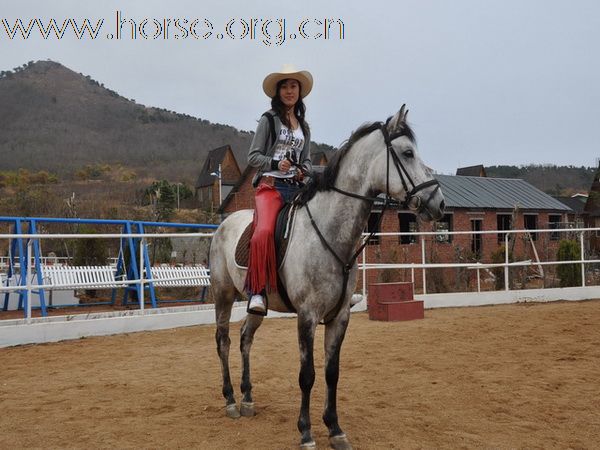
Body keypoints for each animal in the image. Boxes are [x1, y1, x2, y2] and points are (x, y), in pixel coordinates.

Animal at [211, 107, 446, 448]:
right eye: (407, 153)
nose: (439, 203)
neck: (329, 230)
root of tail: (224, 224)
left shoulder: (339, 316)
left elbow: (332, 372)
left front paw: (335, 428)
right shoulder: (307, 315)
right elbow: (307, 374)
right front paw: (306, 432)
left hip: (257, 303)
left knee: (245, 338)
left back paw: (247, 398)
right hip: (223, 295)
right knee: (224, 340)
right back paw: (230, 399)